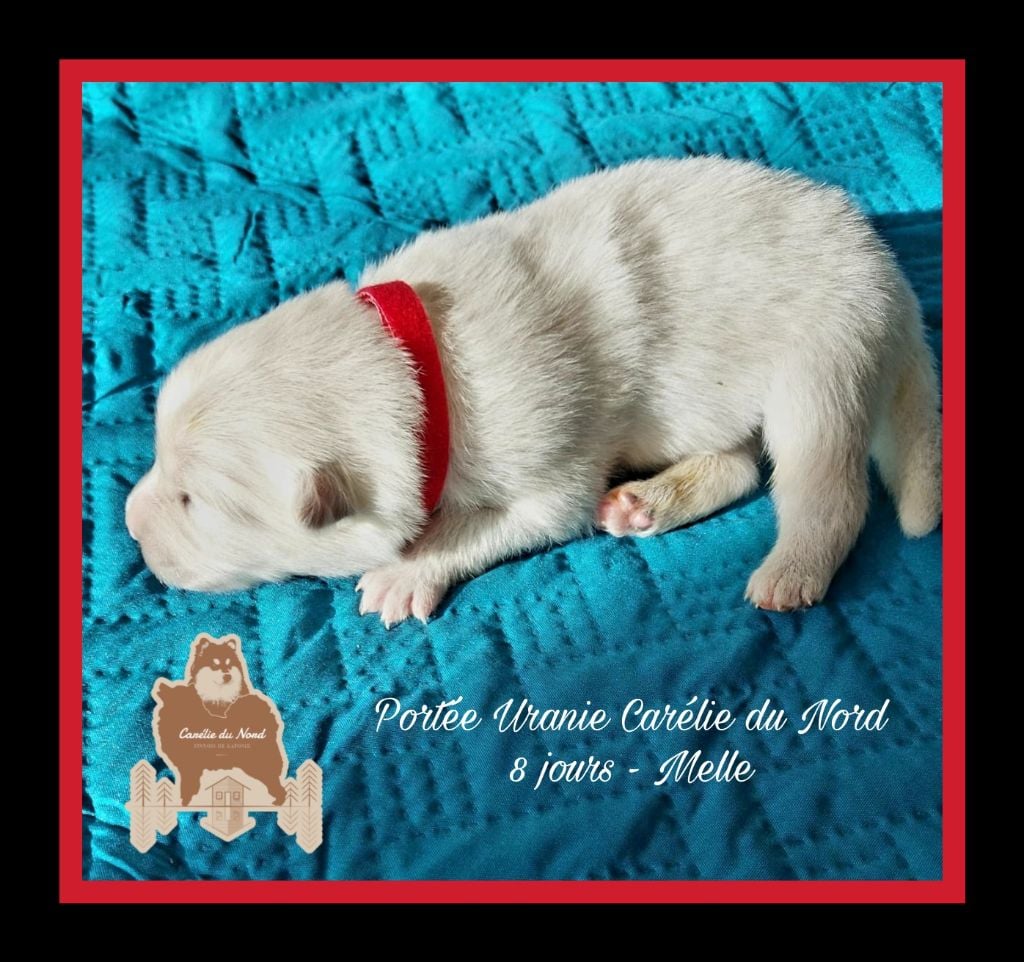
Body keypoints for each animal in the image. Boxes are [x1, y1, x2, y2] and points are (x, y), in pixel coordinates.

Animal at [125, 157, 942, 625]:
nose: (130, 525)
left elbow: (502, 521)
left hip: (824, 363)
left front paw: (405, 573)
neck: (411, 363)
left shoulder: (549, 472)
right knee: (741, 463)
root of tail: (886, 267)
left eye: (195, 503)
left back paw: (789, 572)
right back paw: (648, 501)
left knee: (828, 491)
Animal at [152, 634, 289, 807]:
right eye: (215, 664)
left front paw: (184, 801)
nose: (227, 675)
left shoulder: (189, 768)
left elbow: (187, 788)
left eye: (229, 663)